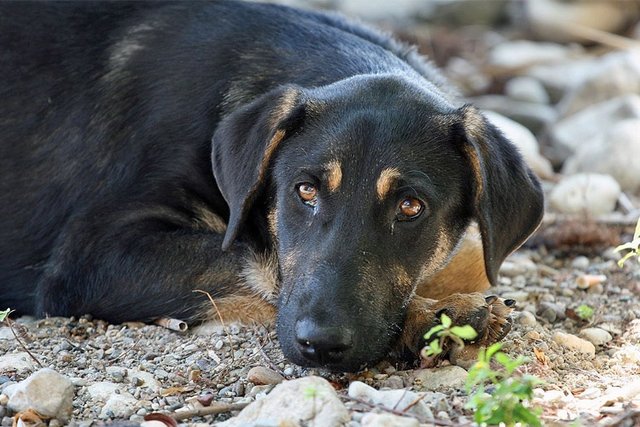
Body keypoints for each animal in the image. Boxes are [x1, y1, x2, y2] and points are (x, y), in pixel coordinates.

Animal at [0, 0, 544, 372]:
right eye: (305, 191)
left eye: (411, 207)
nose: (320, 345)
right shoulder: (91, 255)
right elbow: (254, 262)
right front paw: (436, 315)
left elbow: (468, 257)